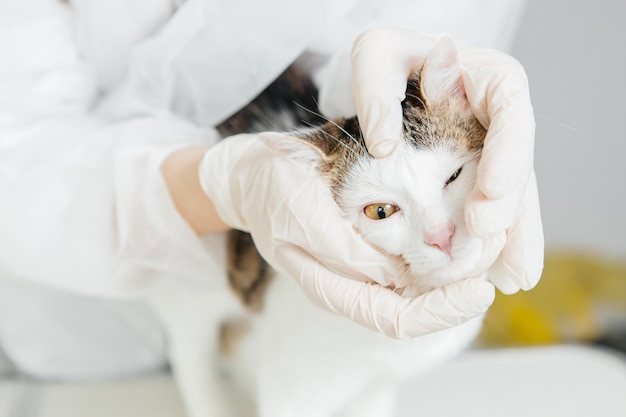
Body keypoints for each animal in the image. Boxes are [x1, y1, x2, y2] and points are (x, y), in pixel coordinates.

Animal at [150, 35, 502, 416]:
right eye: (380, 211)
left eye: (454, 176)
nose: (442, 236)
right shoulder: (293, 387)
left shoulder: (374, 387)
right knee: (190, 351)